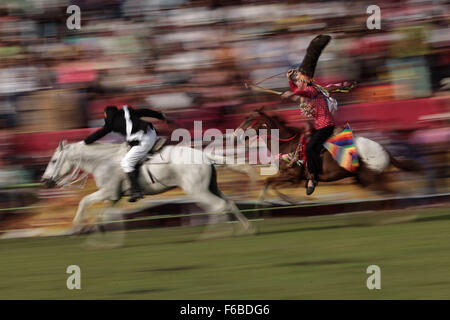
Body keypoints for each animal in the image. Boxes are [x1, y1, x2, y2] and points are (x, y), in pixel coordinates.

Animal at [41, 140, 253, 235]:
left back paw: (216, 233)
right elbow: (104, 214)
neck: (104, 161)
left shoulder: (107, 192)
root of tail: (205, 156)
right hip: (211, 187)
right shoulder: (113, 197)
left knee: (218, 206)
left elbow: (84, 201)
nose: (45, 181)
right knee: (229, 202)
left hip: (198, 191)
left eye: (53, 160)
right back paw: (246, 228)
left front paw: (76, 226)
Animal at [237, 109, 420, 201]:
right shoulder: (291, 177)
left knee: (391, 194)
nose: (236, 134)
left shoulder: (293, 176)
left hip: (371, 178)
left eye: (249, 119)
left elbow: (271, 182)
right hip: (366, 179)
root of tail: (384, 149)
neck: (288, 144)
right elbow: (269, 182)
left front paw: (286, 199)